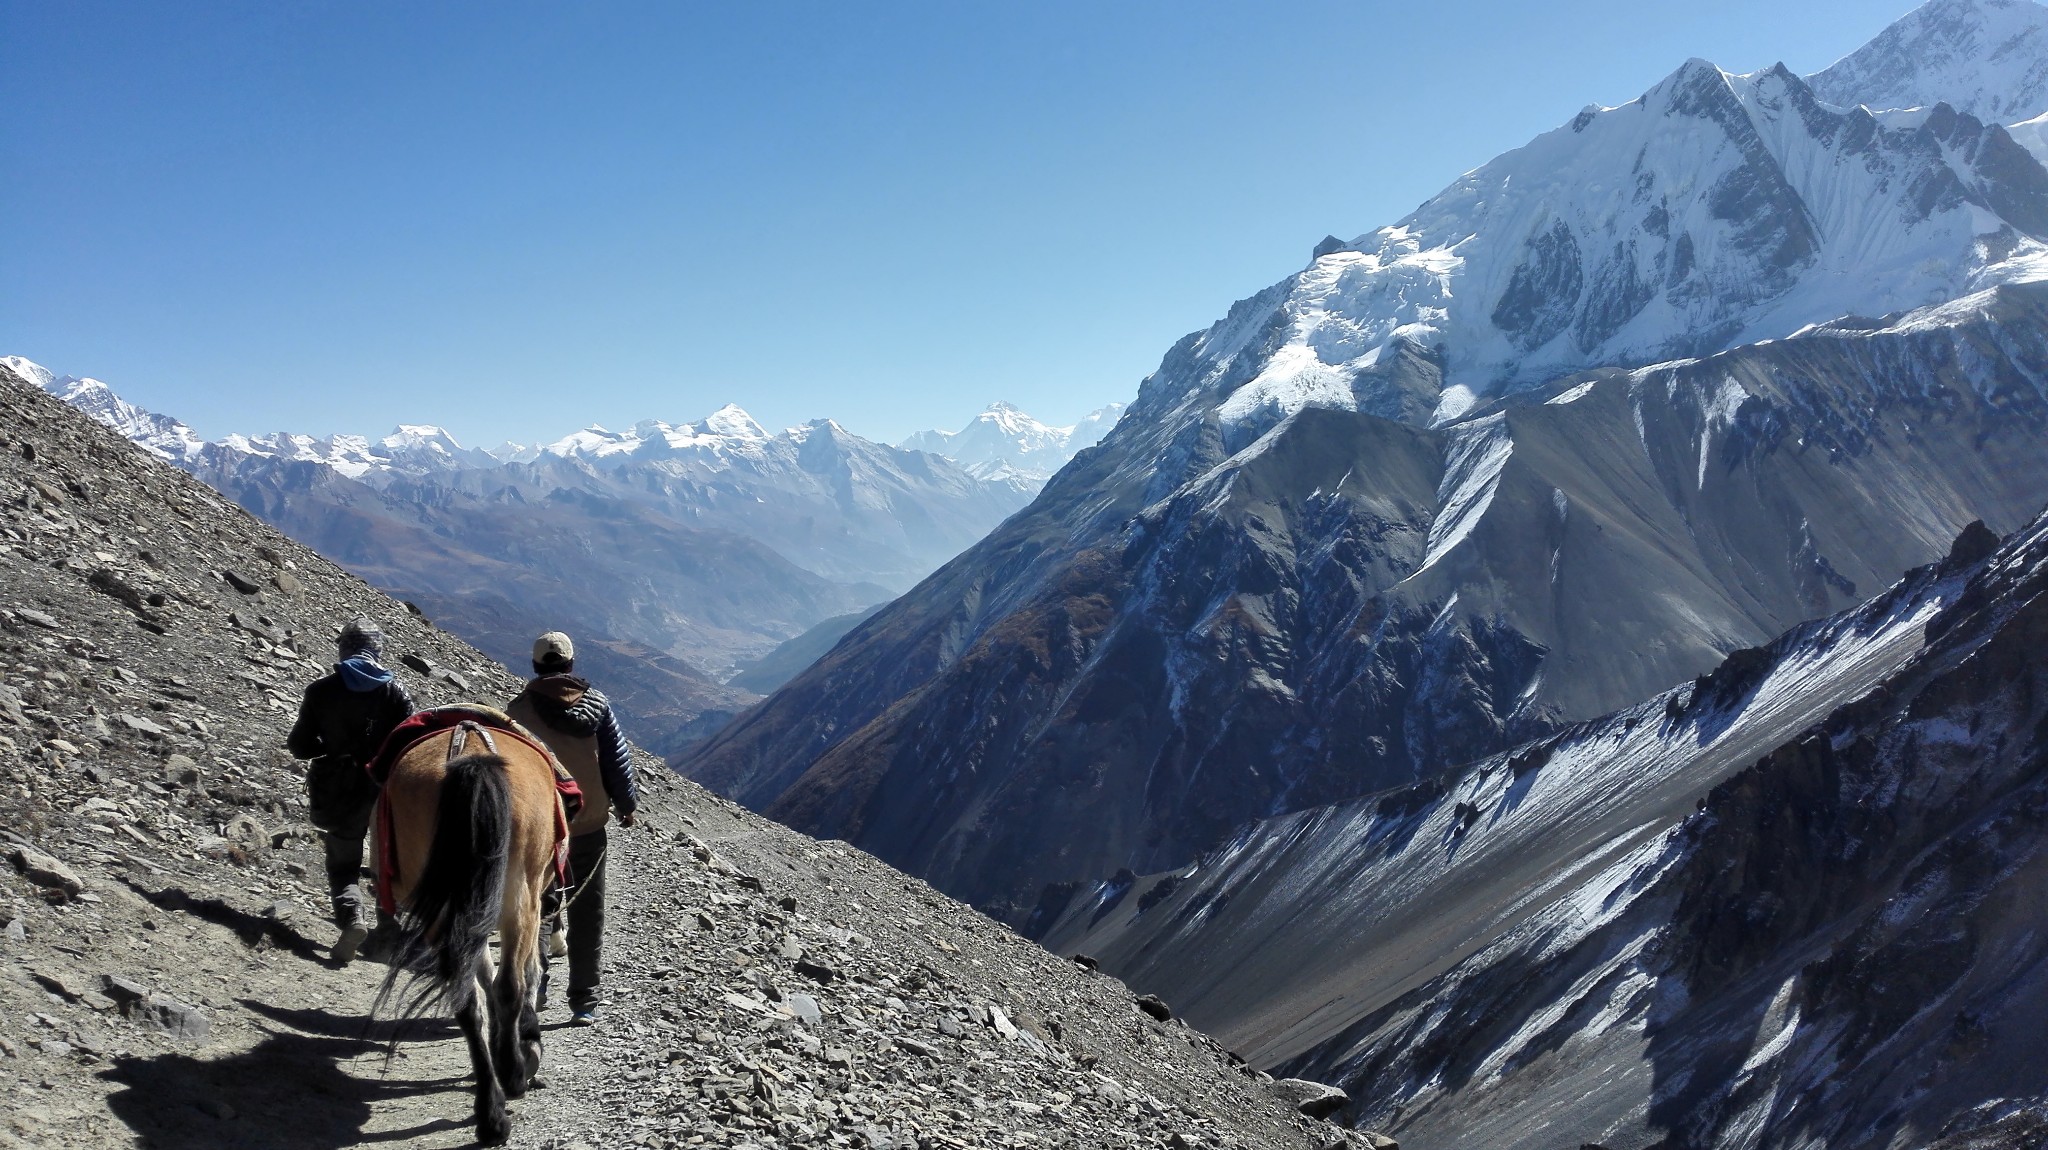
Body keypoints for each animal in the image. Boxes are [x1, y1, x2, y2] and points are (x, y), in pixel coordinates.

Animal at [374, 712, 569, 1137]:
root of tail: (471, 754)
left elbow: (483, 976)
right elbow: (527, 973)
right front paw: (528, 1041)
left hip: (443, 905)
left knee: (465, 999)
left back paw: (490, 1110)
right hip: (518, 894)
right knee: (511, 984)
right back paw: (512, 1077)